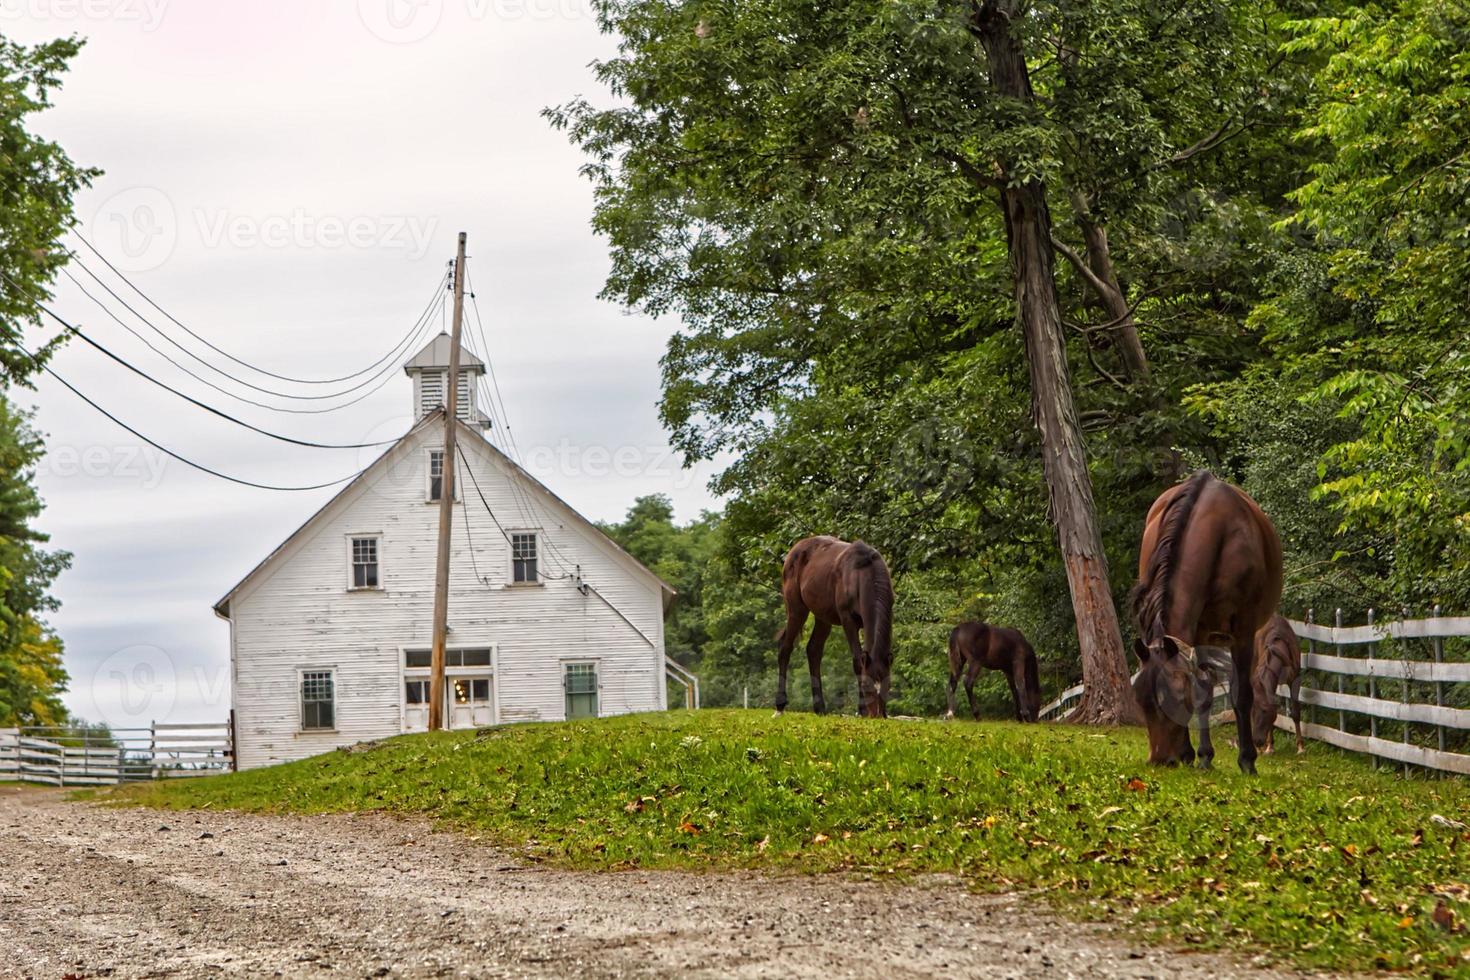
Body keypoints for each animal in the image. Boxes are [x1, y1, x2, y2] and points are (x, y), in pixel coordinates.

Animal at [770, 537, 893, 719]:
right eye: (866, 685)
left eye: (887, 685)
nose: (877, 715)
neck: (861, 574)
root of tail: (795, 549)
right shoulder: (848, 621)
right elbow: (857, 662)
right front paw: (862, 710)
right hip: (796, 610)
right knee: (785, 648)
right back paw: (780, 706)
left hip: (822, 617)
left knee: (813, 650)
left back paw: (820, 708)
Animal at [1128, 473, 1281, 775]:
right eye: (1139, 701)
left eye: (1175, 699)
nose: (1159, 760)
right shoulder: (1197, 632)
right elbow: (1201, 694)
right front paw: (1199, 755)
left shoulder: (1243, 632)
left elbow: (1241, 695)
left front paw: (1247, 760)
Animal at [1246, 617, 1305, 758]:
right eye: (1252, 711)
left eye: (1264, 711)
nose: (1257, 741)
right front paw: (1269, 747)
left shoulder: (1295, 679)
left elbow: (1296, 713)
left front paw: (1300, 747)